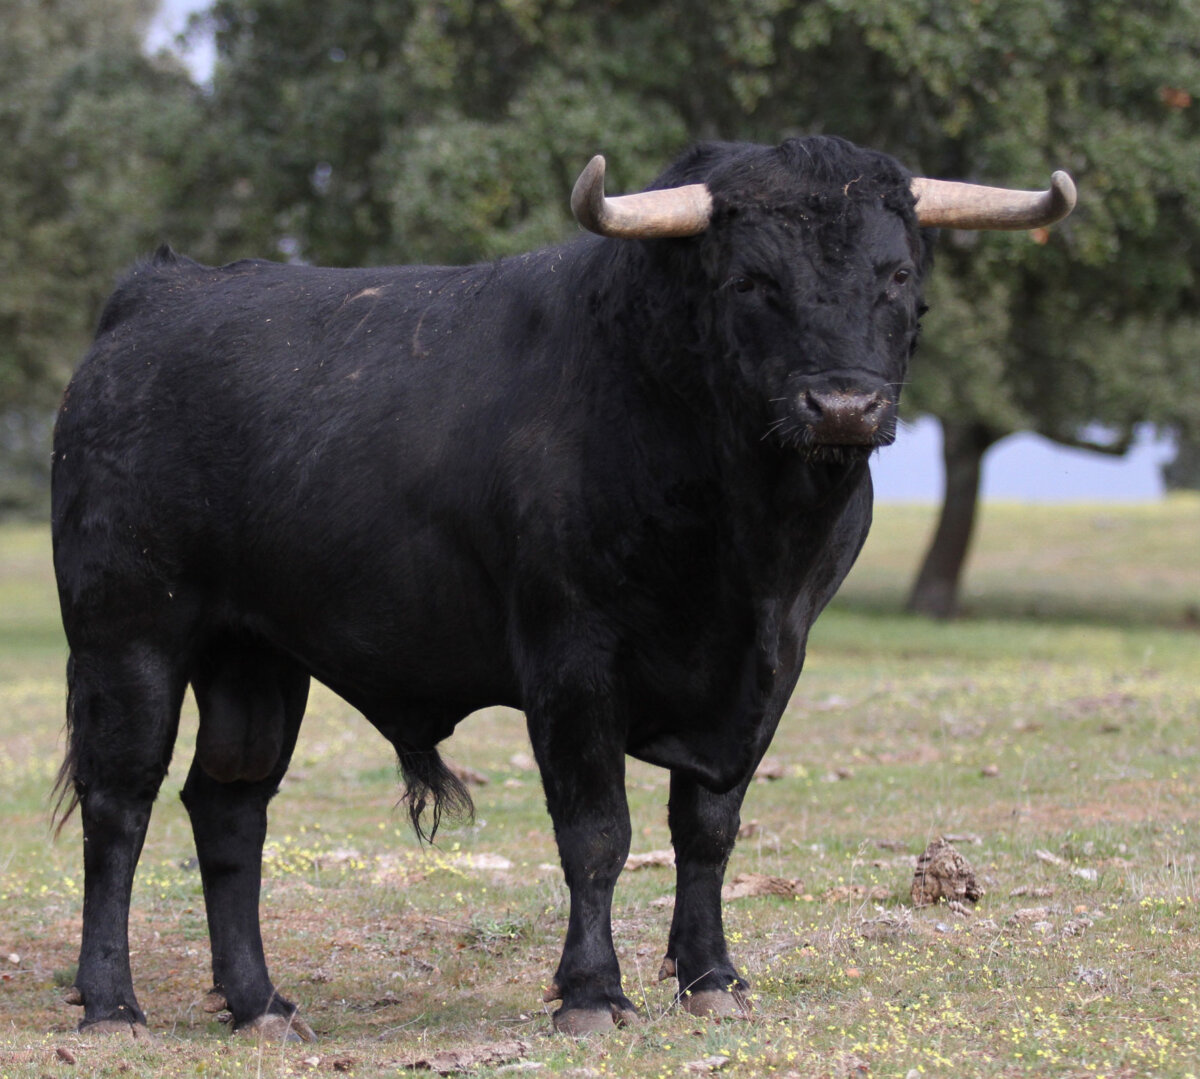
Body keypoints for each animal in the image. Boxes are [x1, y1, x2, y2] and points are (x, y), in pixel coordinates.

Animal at [51, 135, 1074, 1039]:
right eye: (753, 281)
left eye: (896, 276)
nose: (845, 406)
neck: (745, 540)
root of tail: (157, 294)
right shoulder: (572, 658)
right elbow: (597, 832)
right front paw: (591, 991)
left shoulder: (773, 665)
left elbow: (709, 827)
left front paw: (713, 977)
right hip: (127, 638)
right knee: (120, 806)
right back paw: (111, 1004)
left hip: (255, 655)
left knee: (229, 806)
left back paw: (260, 1003)